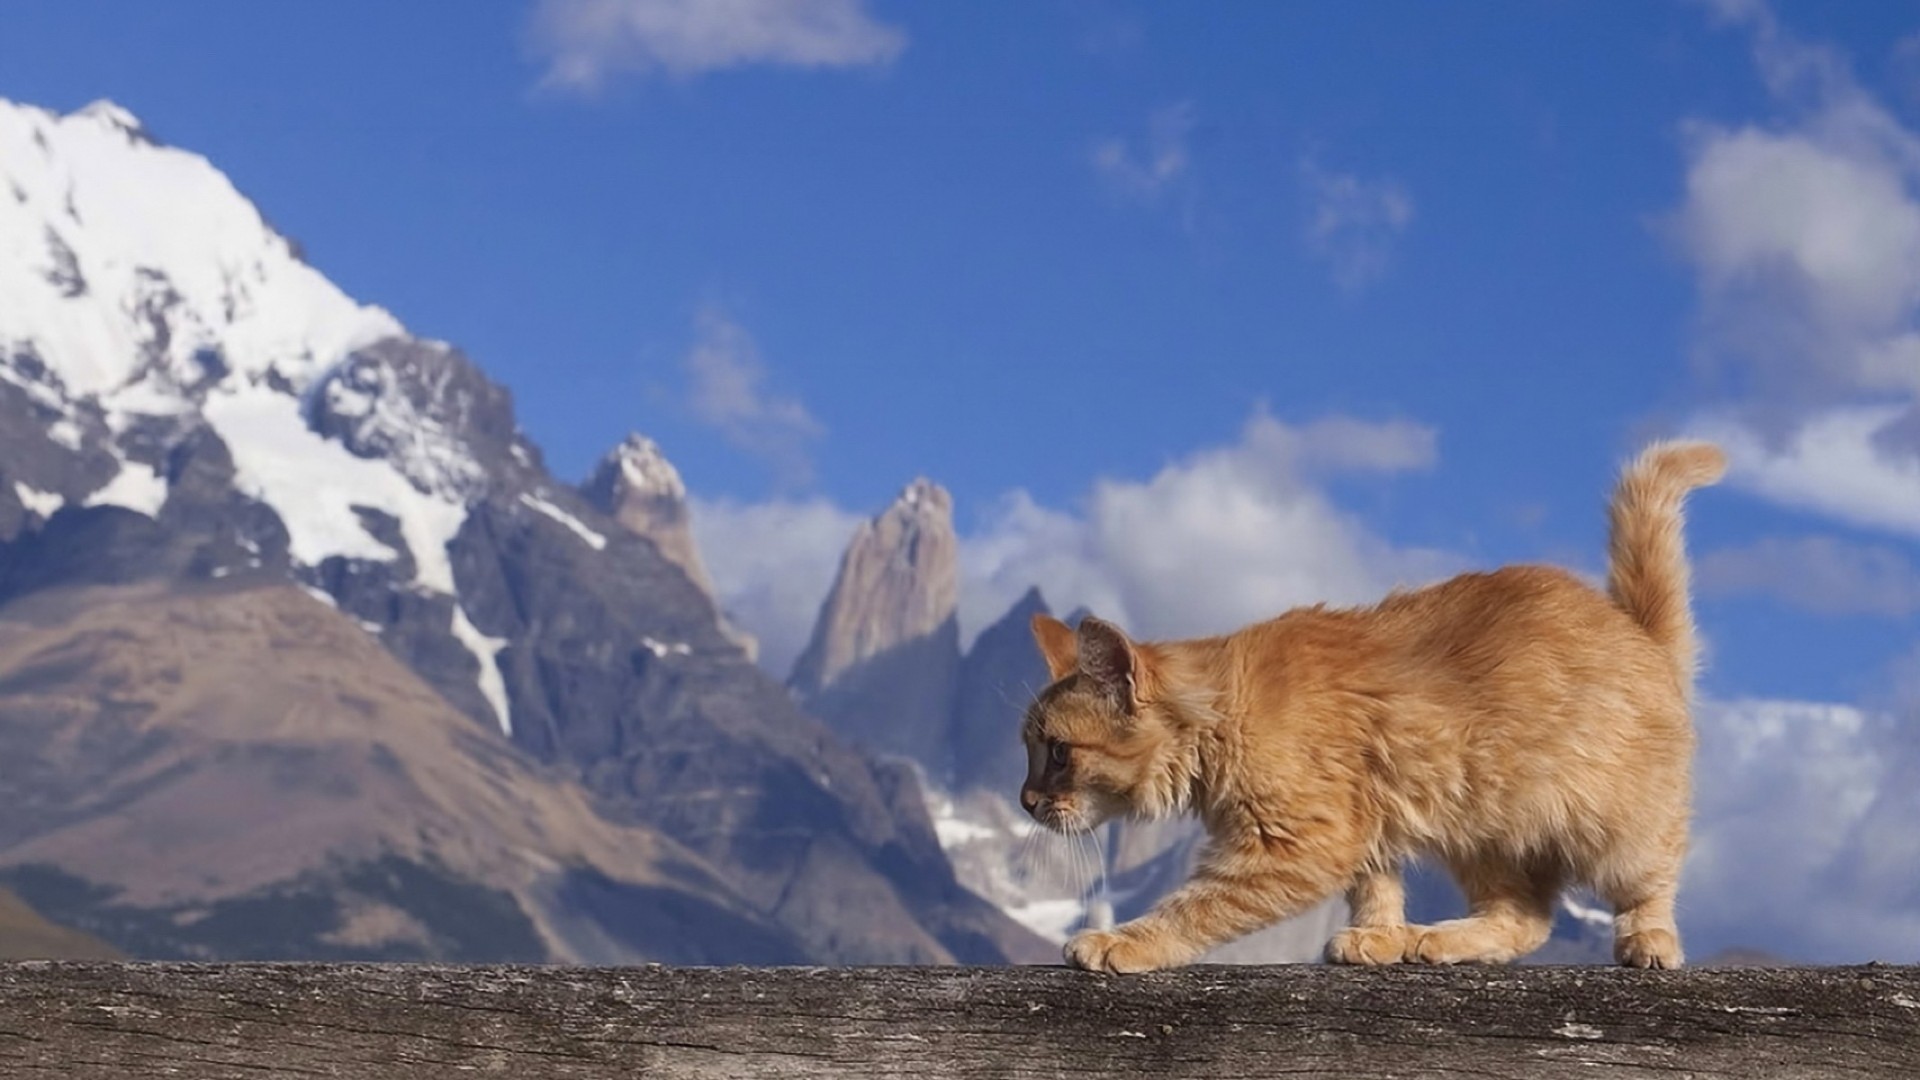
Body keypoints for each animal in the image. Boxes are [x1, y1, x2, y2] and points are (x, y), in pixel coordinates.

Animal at [1021, 438, 1728, 968]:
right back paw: (1439, 940)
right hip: (1483, 834)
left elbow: (1194, 905)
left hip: (1614, 828)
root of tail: (1637, 629)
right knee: (1524, 918)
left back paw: (1648, 940)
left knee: (1649, 881)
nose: (1026, 801)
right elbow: (1375, 889)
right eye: (1028, 751)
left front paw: (1123, 941)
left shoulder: (1297, 843)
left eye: (1057, 753)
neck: (1225, 712)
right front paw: (1380, 936)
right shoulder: (1365, 828)